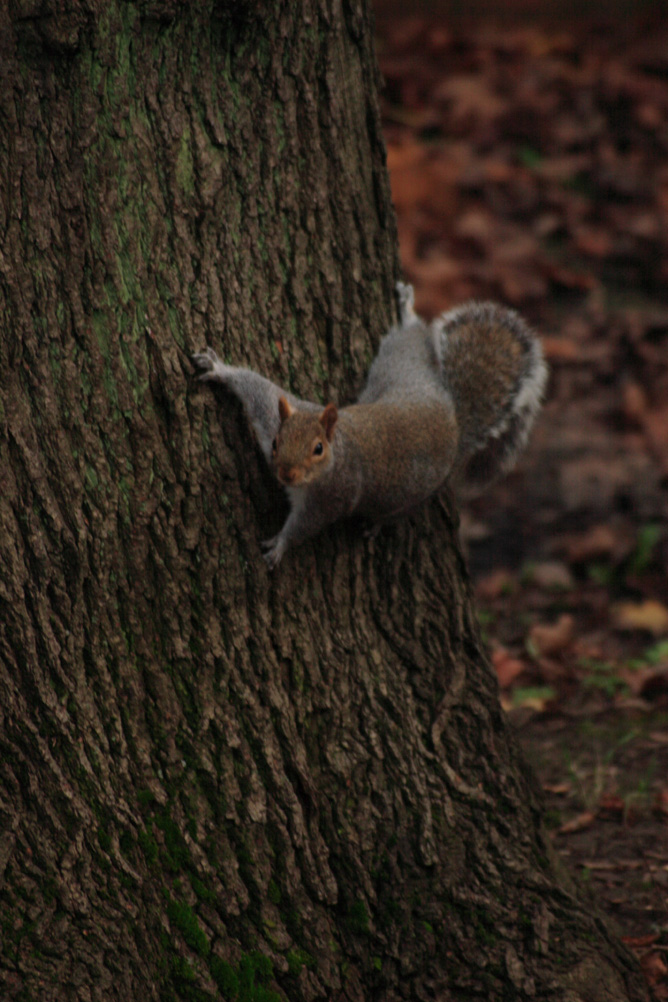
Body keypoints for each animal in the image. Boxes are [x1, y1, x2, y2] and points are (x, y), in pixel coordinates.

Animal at [192, 283, 547, 568]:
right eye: (278, 442)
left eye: (318, 449)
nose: (286, 475)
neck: (336, 451)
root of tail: (453, 418)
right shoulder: (276, 415)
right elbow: (258, 391)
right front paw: (219, 369)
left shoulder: (332, 497)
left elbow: (305, 526)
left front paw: (280, 545)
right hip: (402, 368)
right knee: (412, 340)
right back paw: (407, 312)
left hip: (409, 478)